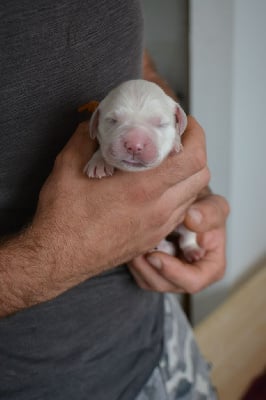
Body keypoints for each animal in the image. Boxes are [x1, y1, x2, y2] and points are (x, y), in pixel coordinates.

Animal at [84, 80, 205, 262]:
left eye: (161, 124)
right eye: (112, 120)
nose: (134, 145)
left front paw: (175, 144)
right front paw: (99, 161)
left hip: (186, 216)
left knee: (187, 235)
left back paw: (192, 251)